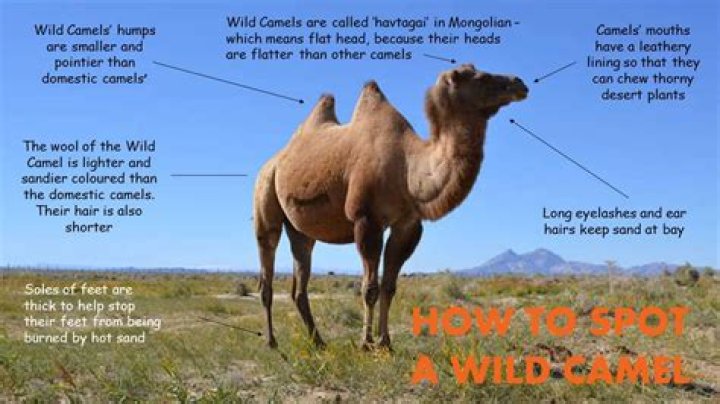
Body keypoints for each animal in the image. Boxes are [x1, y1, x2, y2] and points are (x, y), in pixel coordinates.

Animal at [254, 64, 528, 349]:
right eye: (481, 77)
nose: (519, 83)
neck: (407, 168)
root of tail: (273, 161)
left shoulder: (407, 224)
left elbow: (389, 286)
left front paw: (385, 342)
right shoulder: (366, 219)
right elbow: (369, 288)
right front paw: (365, 343)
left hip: (300, 230)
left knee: (300, 279)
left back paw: (319, 342)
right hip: (265, 194)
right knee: (267, 266)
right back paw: (272, 342)